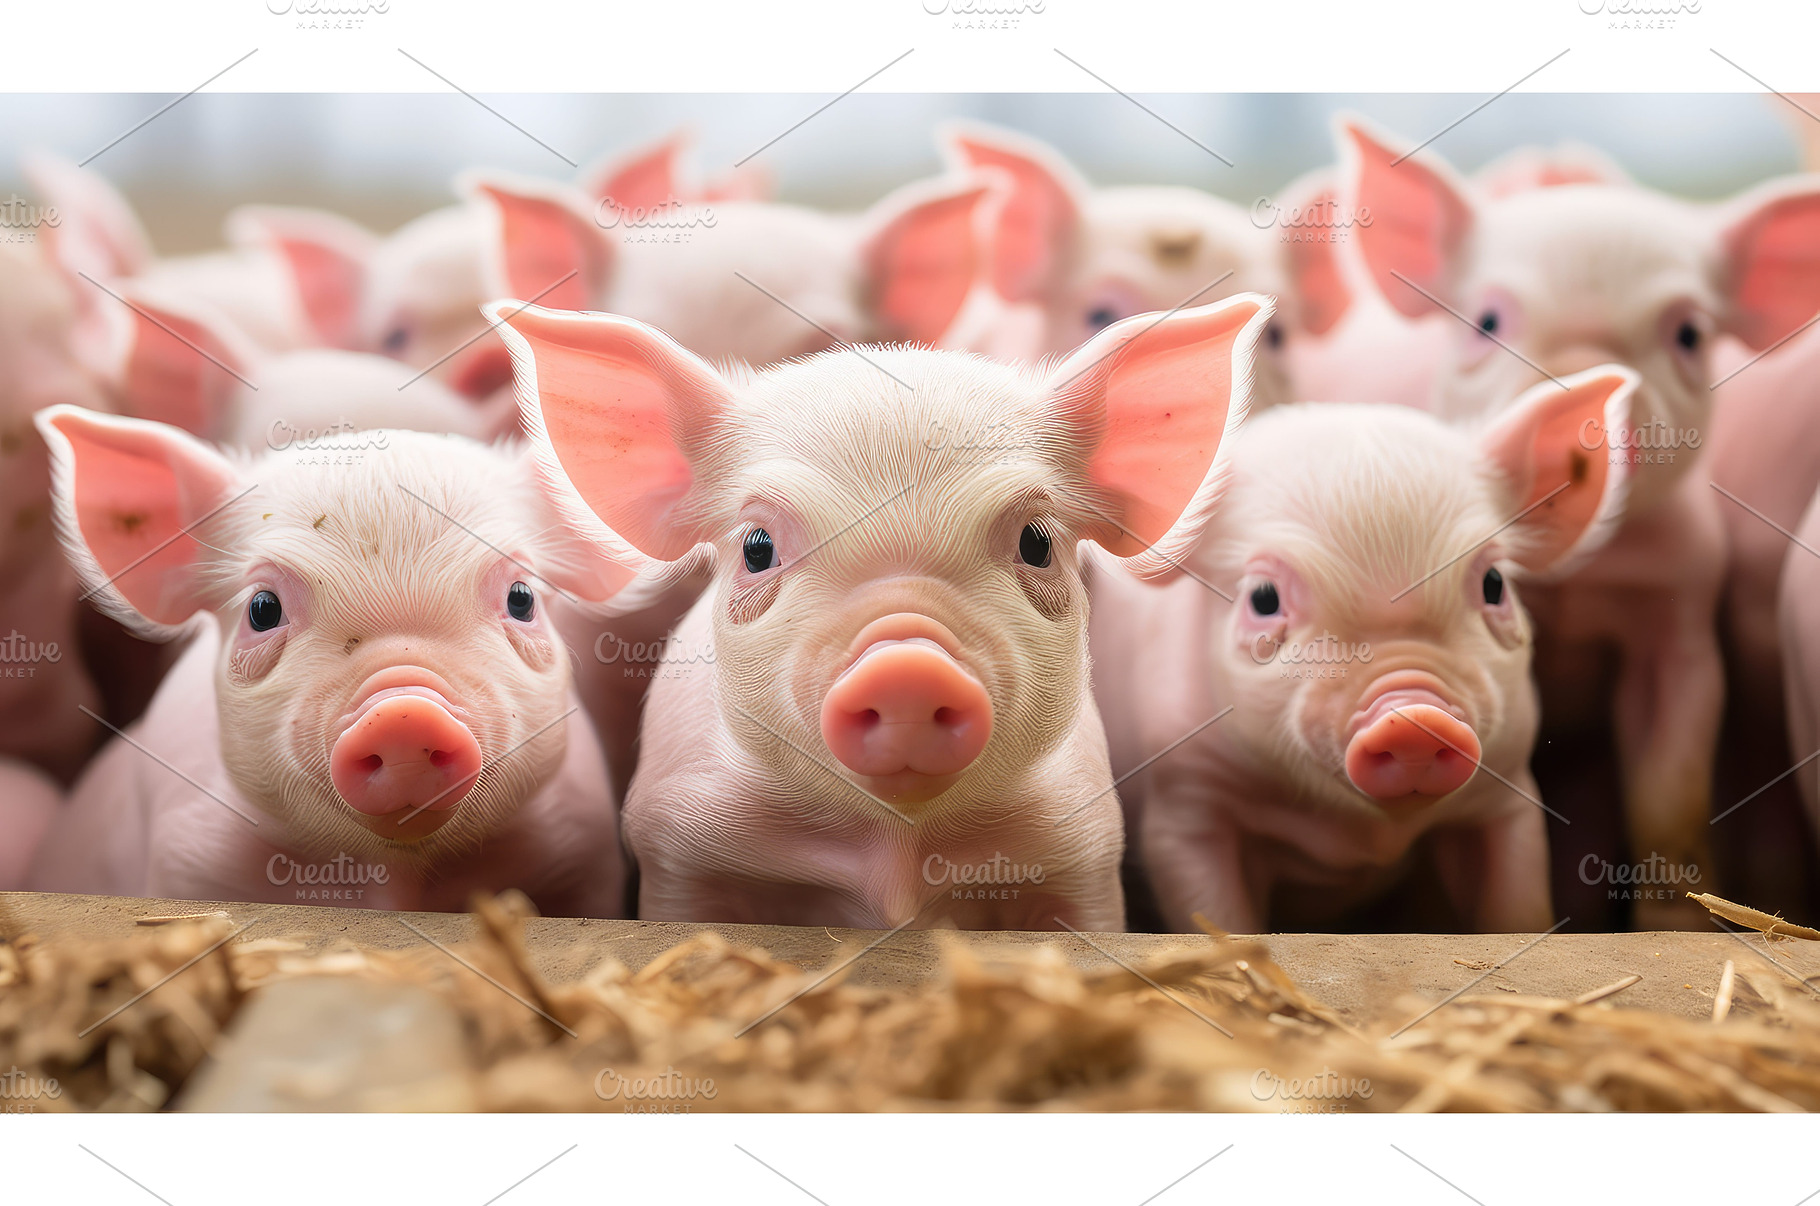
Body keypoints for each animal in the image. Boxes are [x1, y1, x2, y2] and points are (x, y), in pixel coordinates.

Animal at [26, 409, 631, 915]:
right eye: (262, 609)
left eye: (522, 598)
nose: (404, 711)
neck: (396, 877)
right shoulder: (187, 858)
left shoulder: (582, 854)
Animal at [487, 292, 1276, 930]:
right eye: (757, 548)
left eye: (1037, 541)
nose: (906, 663)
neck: (894, 853)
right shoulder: (683, 853)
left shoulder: (1079, 856)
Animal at [1092, 369, 1637, 934]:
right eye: (1263, 598)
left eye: (1494, 584)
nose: (1416, 714)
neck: (1362, 835)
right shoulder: (1186, 806)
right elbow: (1218, 916)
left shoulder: (1506, 790)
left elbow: (1516, 905)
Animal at [1343, 117, 1820, 928]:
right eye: (1487, 320)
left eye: (1689, 334)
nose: (1581, 403)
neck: (1574, 581)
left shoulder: (1680, 623)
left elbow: (1669, 798)